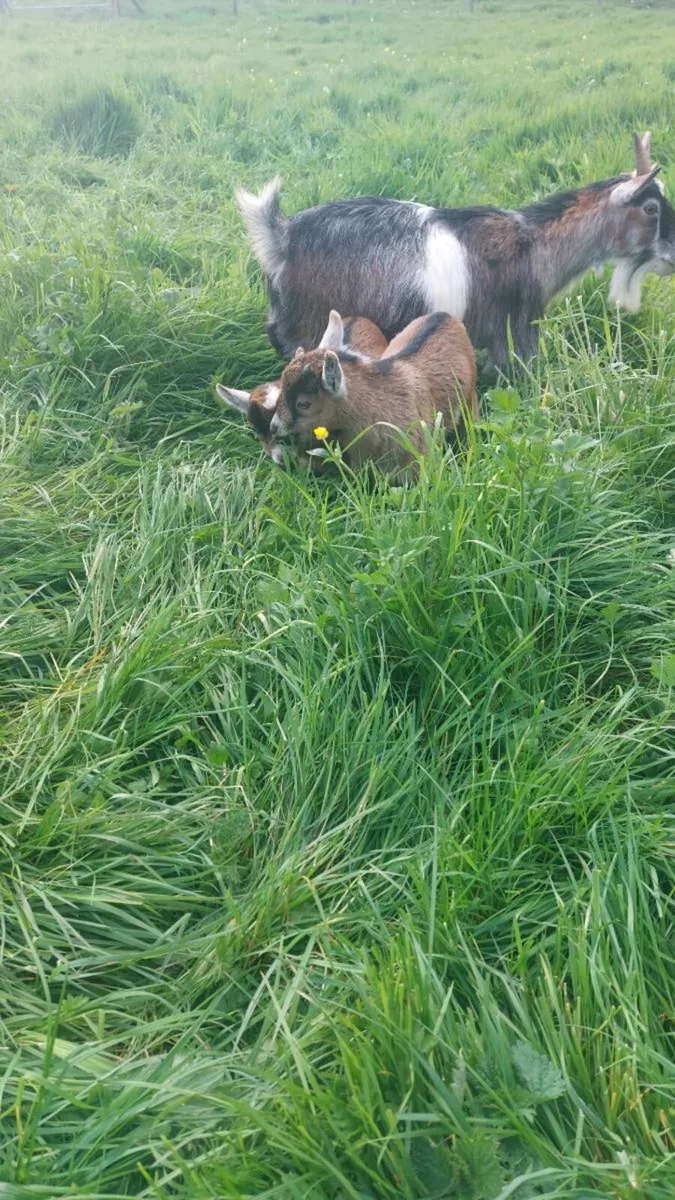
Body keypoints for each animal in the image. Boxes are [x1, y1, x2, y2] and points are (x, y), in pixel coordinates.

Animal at [237, 132, 675, 376]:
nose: (672, 256)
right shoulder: (515, 327)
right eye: (651, 208)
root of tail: (281, 235)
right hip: (312, 324)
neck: (535, 244)